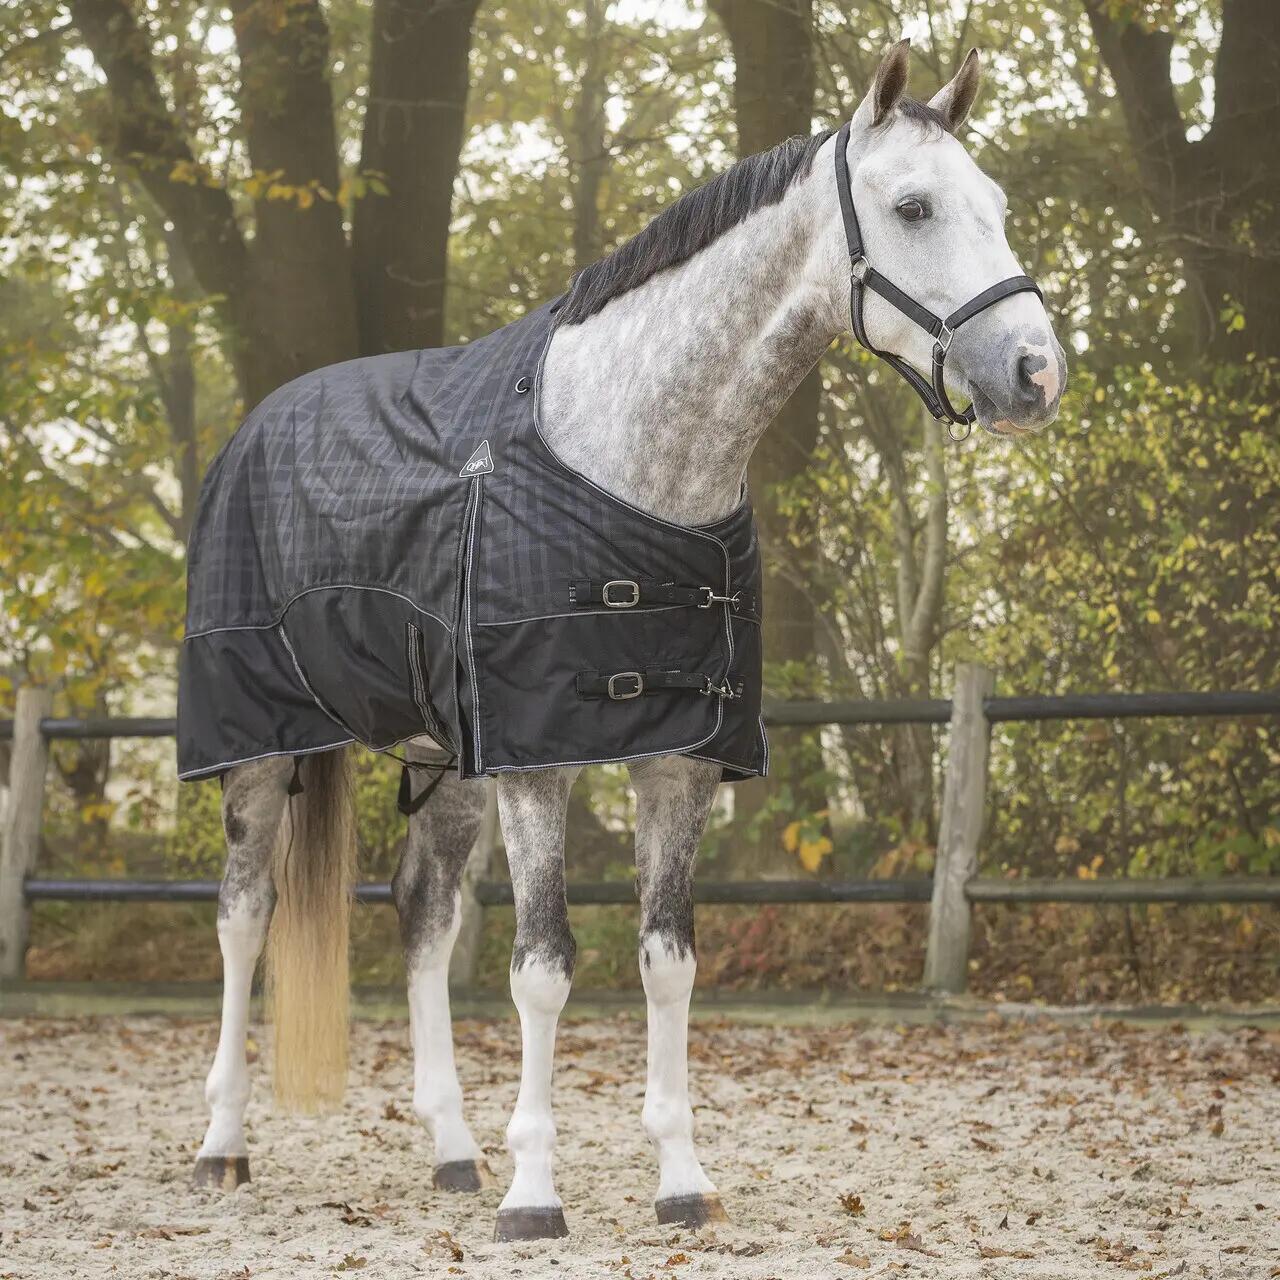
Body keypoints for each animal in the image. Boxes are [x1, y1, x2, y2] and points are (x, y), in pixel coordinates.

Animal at [186, 40, 1066, 1242]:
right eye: (913, 206)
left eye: (998, 205)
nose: (1035, 371)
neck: (634, 456)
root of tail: (258, 423)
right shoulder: (537, 757)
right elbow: (543, 968)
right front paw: (535, 1196)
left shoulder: (675, 758)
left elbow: (666, 962)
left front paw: (679, 1179)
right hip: (256, 742)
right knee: (242, 917)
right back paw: (222, 1146)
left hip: (442, 757)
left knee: (421, 913)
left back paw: (452, 1151)